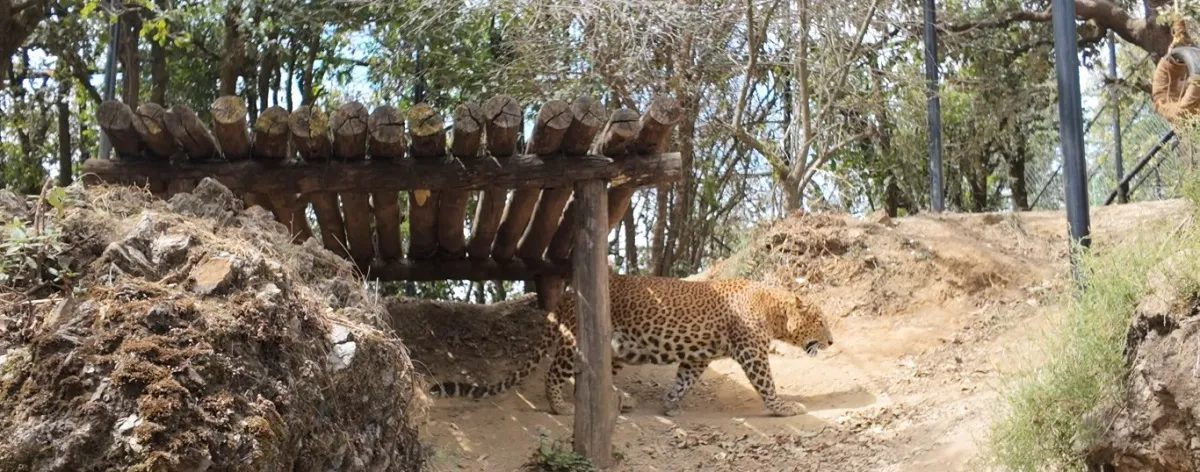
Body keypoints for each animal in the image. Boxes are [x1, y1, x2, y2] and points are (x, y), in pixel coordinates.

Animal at [429, 274, 835, 417]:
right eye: (821, 320)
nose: (832, 341)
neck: (774, 310)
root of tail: (569, 292)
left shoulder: (698, 357)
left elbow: (683, 380)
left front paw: (670, 405)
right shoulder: (751, 352)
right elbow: (767, 384)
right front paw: (785, 408)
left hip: (614, 347)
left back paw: (618, 399)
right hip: (576, 341)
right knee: (555, 374)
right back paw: (560, 406)